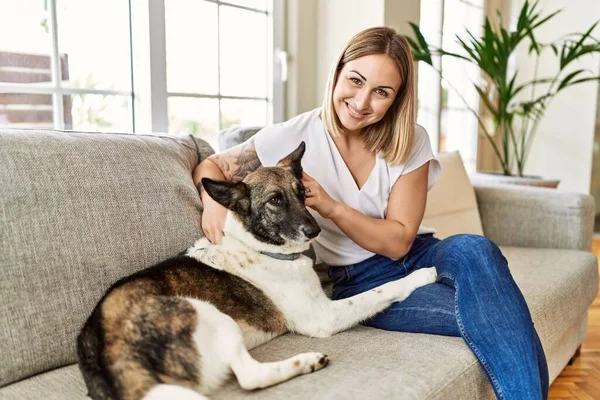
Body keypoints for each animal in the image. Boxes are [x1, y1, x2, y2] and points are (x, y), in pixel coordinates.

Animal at [77, 142, 438, 398]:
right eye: (275, 201)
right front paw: (422, 275)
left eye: (303, 193)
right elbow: (380, 290)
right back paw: (305, 362)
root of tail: (107, 349)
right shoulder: (324, 316)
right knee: (251, 378)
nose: (314, 231)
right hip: (210, 314)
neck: (259, 247)